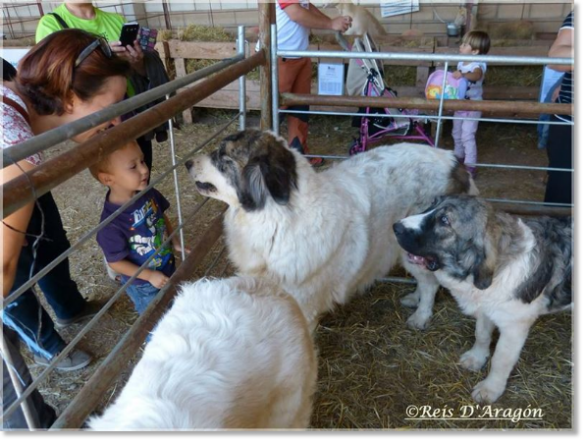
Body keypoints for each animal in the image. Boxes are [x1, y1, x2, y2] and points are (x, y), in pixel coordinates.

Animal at [185, 129, 476, 330]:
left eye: (222, 158)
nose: (187, 163)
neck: (275, 217)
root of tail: (456, 163)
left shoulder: (302, 307)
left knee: (430, 283)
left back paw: (421, 316)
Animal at [392, 196, 572, 404]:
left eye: (444, 220)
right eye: (431, 205)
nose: (395, 227)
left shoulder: (514, 328)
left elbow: (501, 359)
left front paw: (490, 389)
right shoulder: (486, 308)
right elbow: (482, 335)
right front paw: (477, 358)